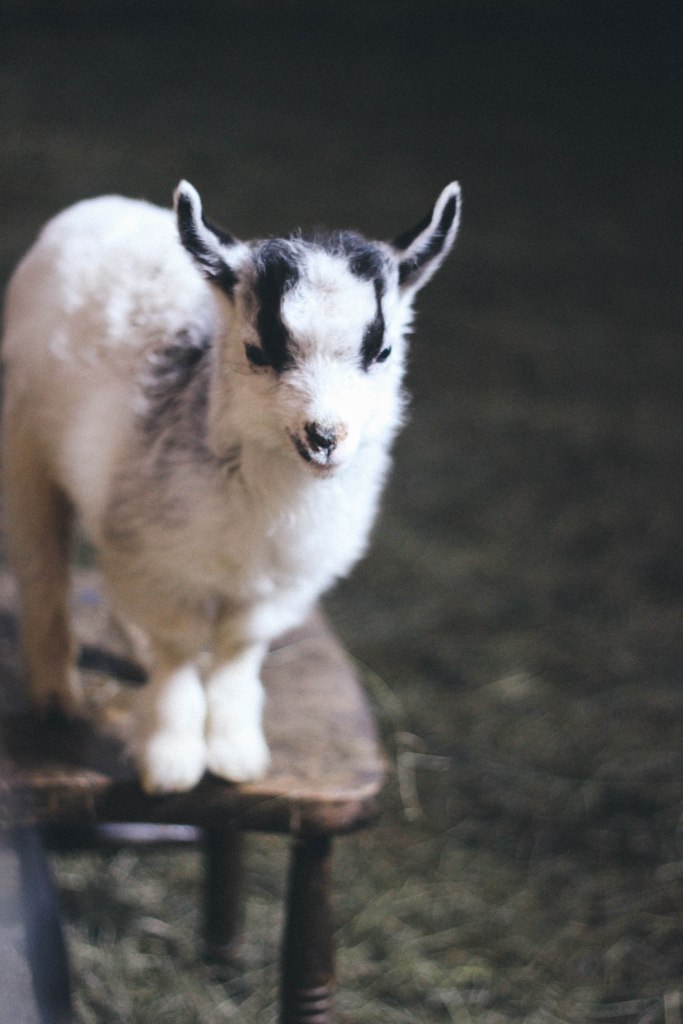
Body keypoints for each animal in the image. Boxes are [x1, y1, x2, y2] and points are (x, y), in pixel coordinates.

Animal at [1, 180, 461, 793]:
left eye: (382, 352)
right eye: (258, 352)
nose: (324, 437)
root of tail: (97, 206)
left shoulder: (275, 583)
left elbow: (237, 650)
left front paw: (236, 753)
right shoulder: (155, 562)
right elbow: (177, 649)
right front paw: (171, 761)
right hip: (25, 448)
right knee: (43, 569)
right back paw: (55, 698)